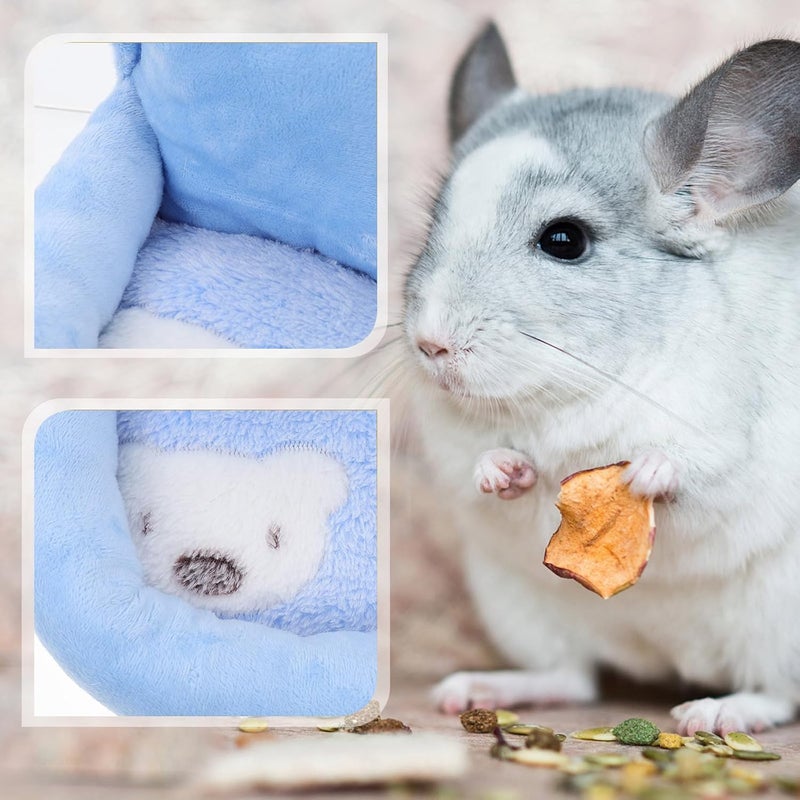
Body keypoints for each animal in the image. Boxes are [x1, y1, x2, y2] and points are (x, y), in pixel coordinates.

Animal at [403, 23, 800, 735]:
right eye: (433, 229)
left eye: (565, 239)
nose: (430, 342)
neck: (573, 392)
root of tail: (670, 659)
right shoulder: (453, 448)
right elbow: (478, 472)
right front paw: (502, 471)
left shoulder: (735, 449)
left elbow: (703, 477)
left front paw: (648, 471)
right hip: (521, 608)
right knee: (574, 678)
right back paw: (475, 689)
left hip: (780, 630)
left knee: (777, 693)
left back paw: (715, 712)